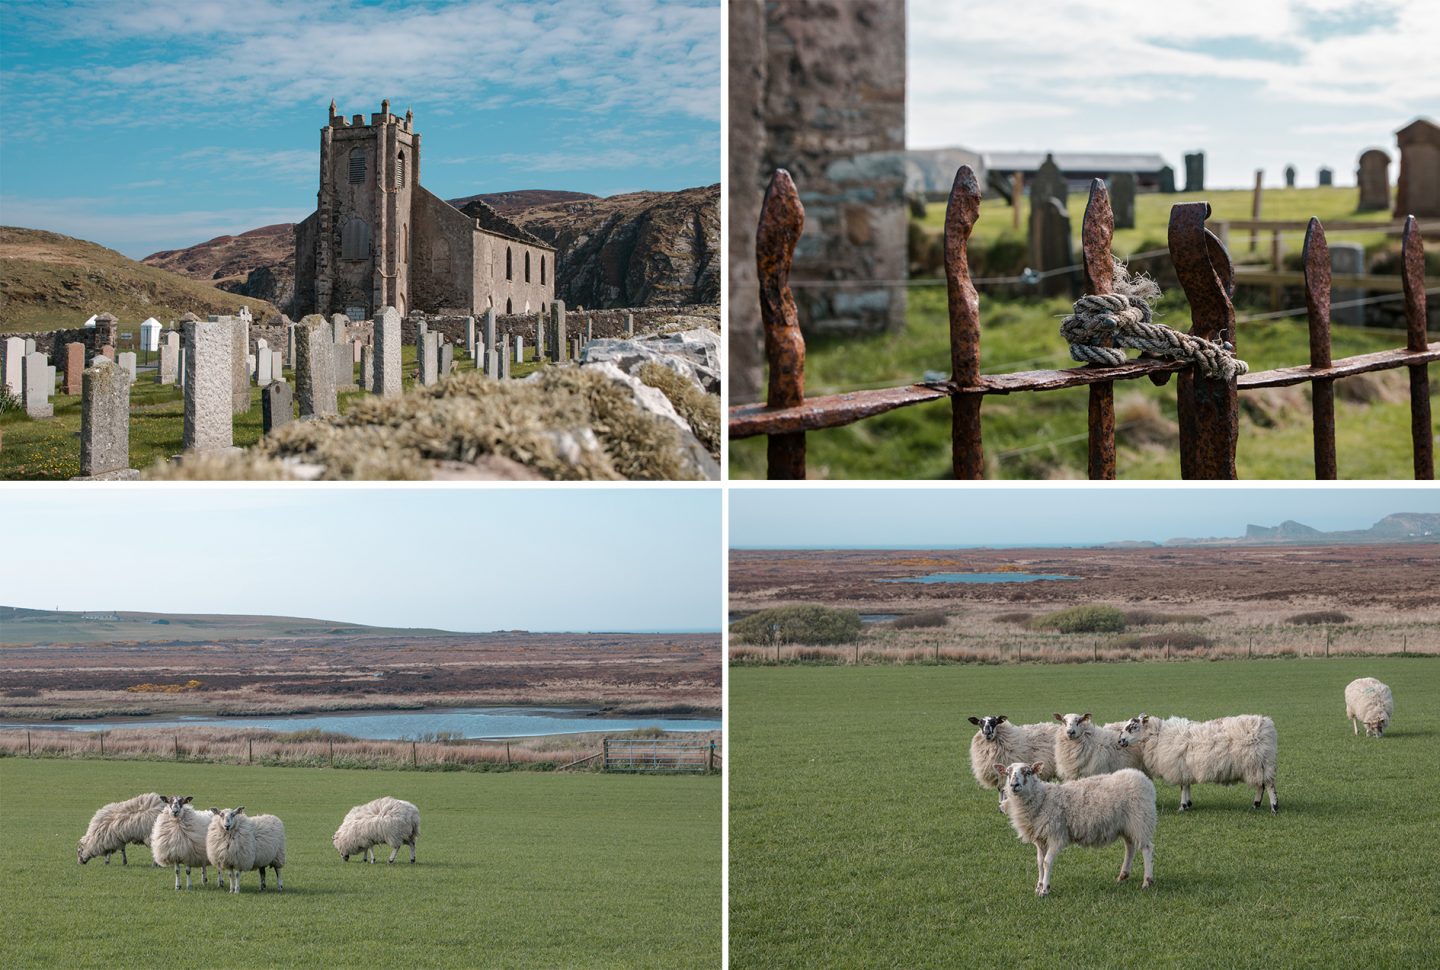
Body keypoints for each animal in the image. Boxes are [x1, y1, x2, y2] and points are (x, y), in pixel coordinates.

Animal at [996, 759, 1152, 898]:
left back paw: (1147, 881)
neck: (1042, 799)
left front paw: (1045, 890)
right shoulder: (1040, 839)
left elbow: (1047, 862)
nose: (1014, 785)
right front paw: (1039, 886)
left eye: (1027, 772)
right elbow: (1039, 862)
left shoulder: (1056, 835)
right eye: (1008, 773)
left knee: (1146, 848)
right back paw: (1123, 876)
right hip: (1127, 825)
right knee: (1130, 847)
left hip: (1141, 820)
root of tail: (1141, 777)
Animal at [1117, 710, 1278, 805]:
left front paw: (1182, 806)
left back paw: (1274, 807)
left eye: (1133, 727)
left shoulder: (1178, 767)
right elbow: (1187, 785)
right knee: (1261, 785)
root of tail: (1266, 724)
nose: (1120, 741)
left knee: (1269, 784)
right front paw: (1188, 804)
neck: (1158, 735)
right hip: (1257, 764)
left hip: (1261, 762)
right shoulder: (1185, 767)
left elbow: (1183, 786)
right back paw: (1256, 804)